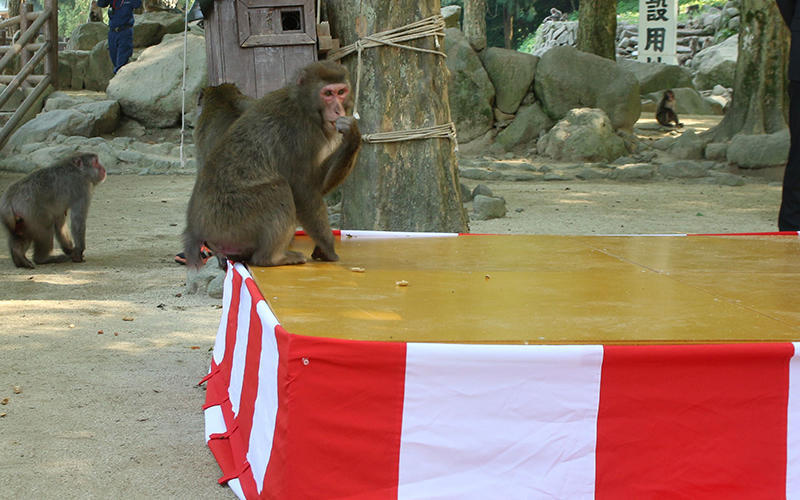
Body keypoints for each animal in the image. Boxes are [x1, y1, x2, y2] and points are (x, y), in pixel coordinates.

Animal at [183, 61, 360, 270]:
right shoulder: (298, 135)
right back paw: (272, 258)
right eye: (328, 93)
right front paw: (328, 249)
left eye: (341, 92)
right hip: (229, 223)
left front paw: (352, 135)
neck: (304, 107)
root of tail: (197, 228)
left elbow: (318, 183)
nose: (338, 110)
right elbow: (303, 191)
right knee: (280, 189)